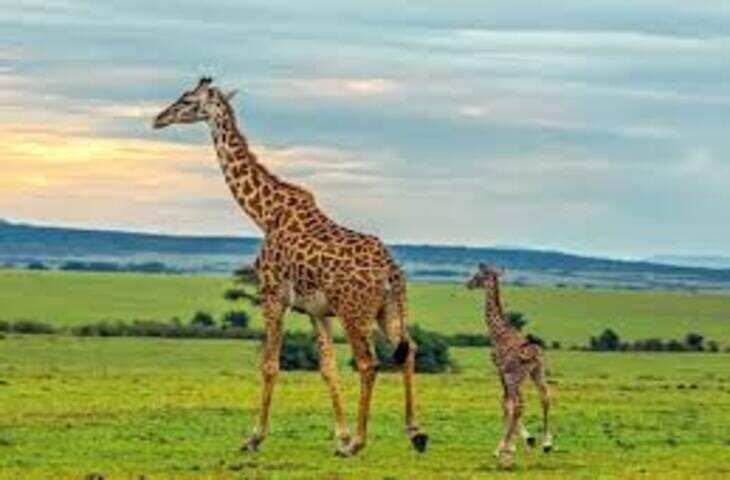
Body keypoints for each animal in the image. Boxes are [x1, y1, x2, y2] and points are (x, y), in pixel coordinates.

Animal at [152, 77, 428, 457]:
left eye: (187, 100)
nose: (158, 119)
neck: (265, 214)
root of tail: (391, 271)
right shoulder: (316, 311)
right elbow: (327, 367)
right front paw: (340, 434)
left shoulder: (272, 296)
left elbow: (269, 364)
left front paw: (254, 437)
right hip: (387, 309)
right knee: (408, 350)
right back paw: (415, 433)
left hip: (355, 312)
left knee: (369, 362)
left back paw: (359, 443)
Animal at [466, 263, 553, 468]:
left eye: (477, 276)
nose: (468, 284)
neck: (498, 331)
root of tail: (533, 353)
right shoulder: (507, 374)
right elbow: (510, 404)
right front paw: (523, 441)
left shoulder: (501, 371)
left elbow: (506, 404)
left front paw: (508, 447)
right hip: (538, 372)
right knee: (545, 397)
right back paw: (547, 444)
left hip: (516, 376)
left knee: (520, 404)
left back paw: (500, 450)